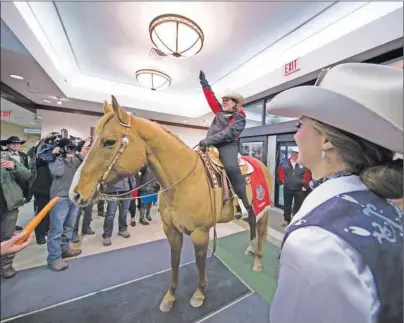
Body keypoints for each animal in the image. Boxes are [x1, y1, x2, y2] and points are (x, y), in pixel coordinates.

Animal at [69, 97, 274, 314]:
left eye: (109, 142)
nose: (75, 193)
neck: (183, 182)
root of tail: (261, 164)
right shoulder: (171, 231)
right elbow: (174, 262)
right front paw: (170, 297)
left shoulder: (200, 233)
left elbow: (200, 263)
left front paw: (199, 293)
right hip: (253, 211)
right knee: (252, 224)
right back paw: (250, 248)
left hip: (263, 210)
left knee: (261, 231)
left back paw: (258, 261)